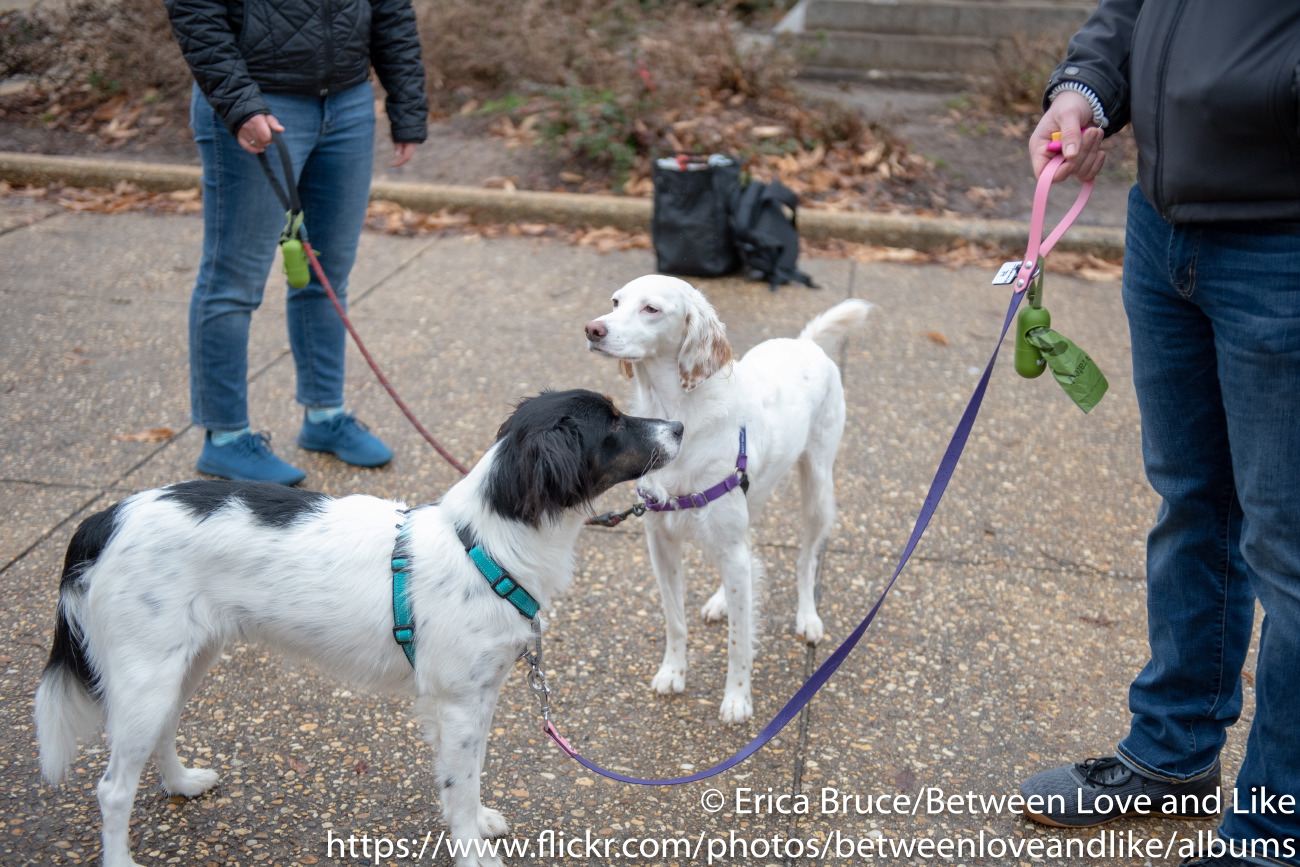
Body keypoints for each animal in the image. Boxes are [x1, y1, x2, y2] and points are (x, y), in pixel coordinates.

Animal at [34, 389, 682, 867]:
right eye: (614, 422)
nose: (678, 425)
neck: (487, 541)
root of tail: (104, 516)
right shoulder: (458, 704)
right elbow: (461, 784)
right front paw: (472, 850)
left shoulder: (473, 700)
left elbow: (466, 779)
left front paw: (475, 822)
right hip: (148, 674)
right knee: (113, 789)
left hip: (182, 664)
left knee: (161, 734)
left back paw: (181, 784)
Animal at [585, 274, 871, 724]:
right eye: (615, 302)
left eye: (651, 308)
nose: (593, 329)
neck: (680, 417)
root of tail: (805, 343)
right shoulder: (661, 544)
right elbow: (675, 620)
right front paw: (673, 672)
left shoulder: (729, 543)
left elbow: (740, 639)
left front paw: (737, 699)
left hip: (818, 489)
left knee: (805, 558)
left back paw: (807, 616)